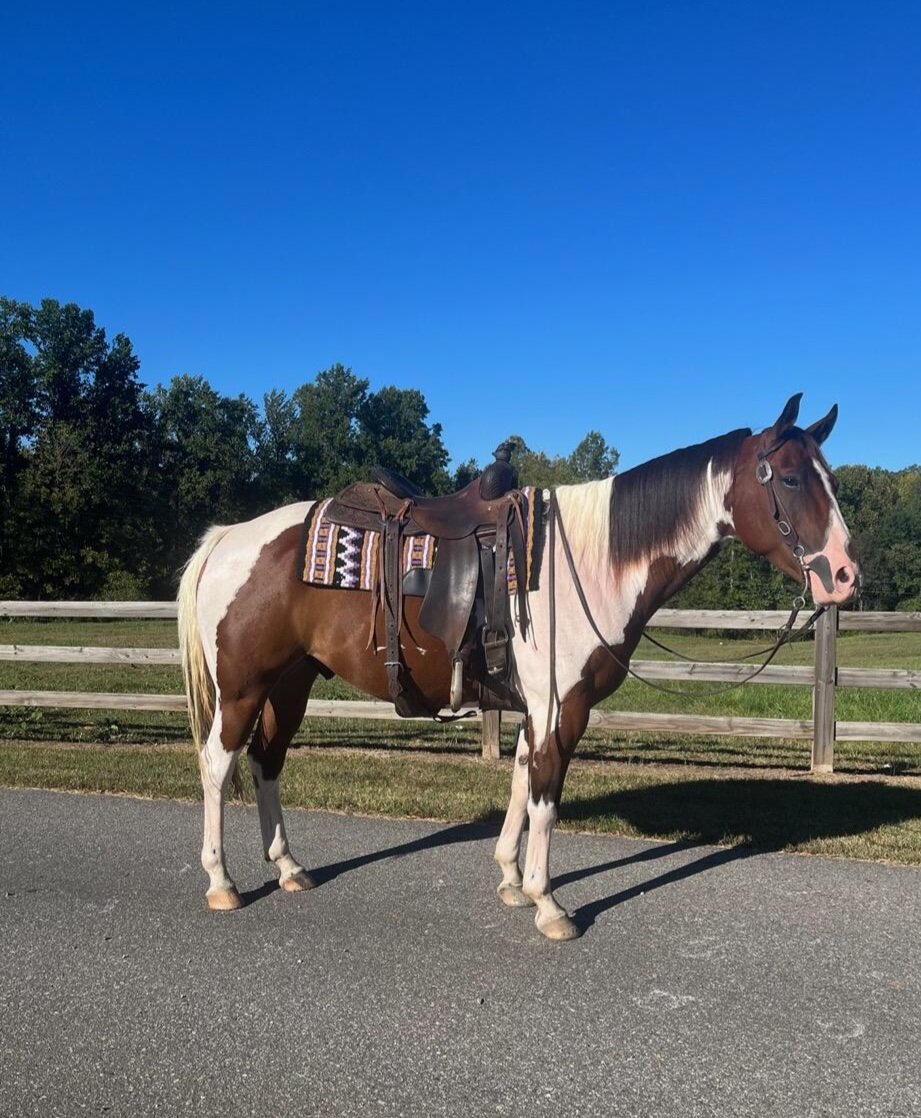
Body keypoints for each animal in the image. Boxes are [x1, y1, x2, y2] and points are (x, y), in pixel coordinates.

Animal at [177, 393, 859, 940]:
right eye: (790, 479)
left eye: (828, 478)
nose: (845, 576)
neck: (589, 564)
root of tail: (228, 538)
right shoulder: (563, 707)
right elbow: (546, 798)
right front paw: (547, 902)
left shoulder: (535, 707)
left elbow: (521, 784)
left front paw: (509, 878)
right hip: (242, 688)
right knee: (218, 764)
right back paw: (221, 881)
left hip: (289, 684)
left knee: (266, 762)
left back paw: (289, 867)